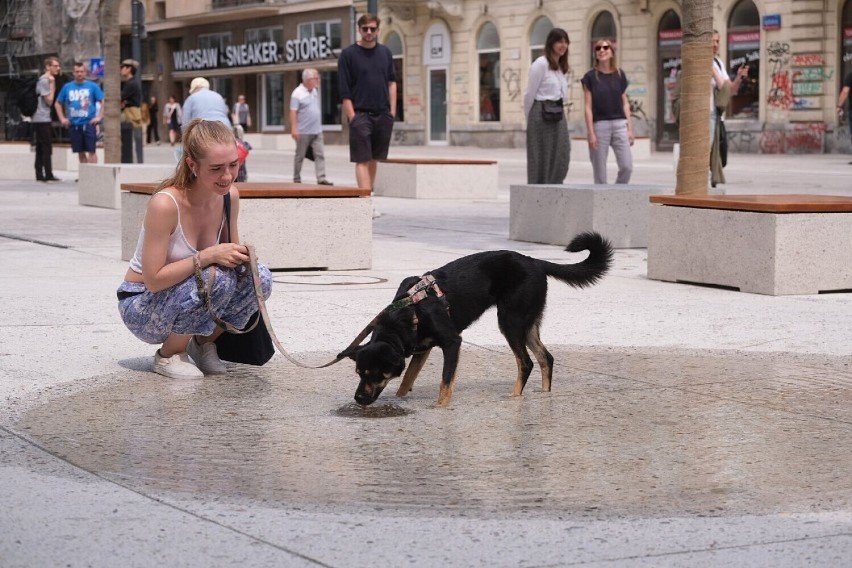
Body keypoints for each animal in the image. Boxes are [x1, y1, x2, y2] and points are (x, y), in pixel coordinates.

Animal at [340, 233, 612, 406]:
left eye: (376, 374)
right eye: (358, 373)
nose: (358, 399)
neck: (409, 313)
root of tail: (535, 261)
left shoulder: (452, 342)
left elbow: (445, 381)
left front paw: (440, 408)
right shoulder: (421, 349)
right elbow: (407, 380)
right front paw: (399, 398)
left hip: (510, 321)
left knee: (526, 362)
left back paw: (514, 397)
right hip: (528, 323)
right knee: (546, 358)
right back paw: (544, 394)